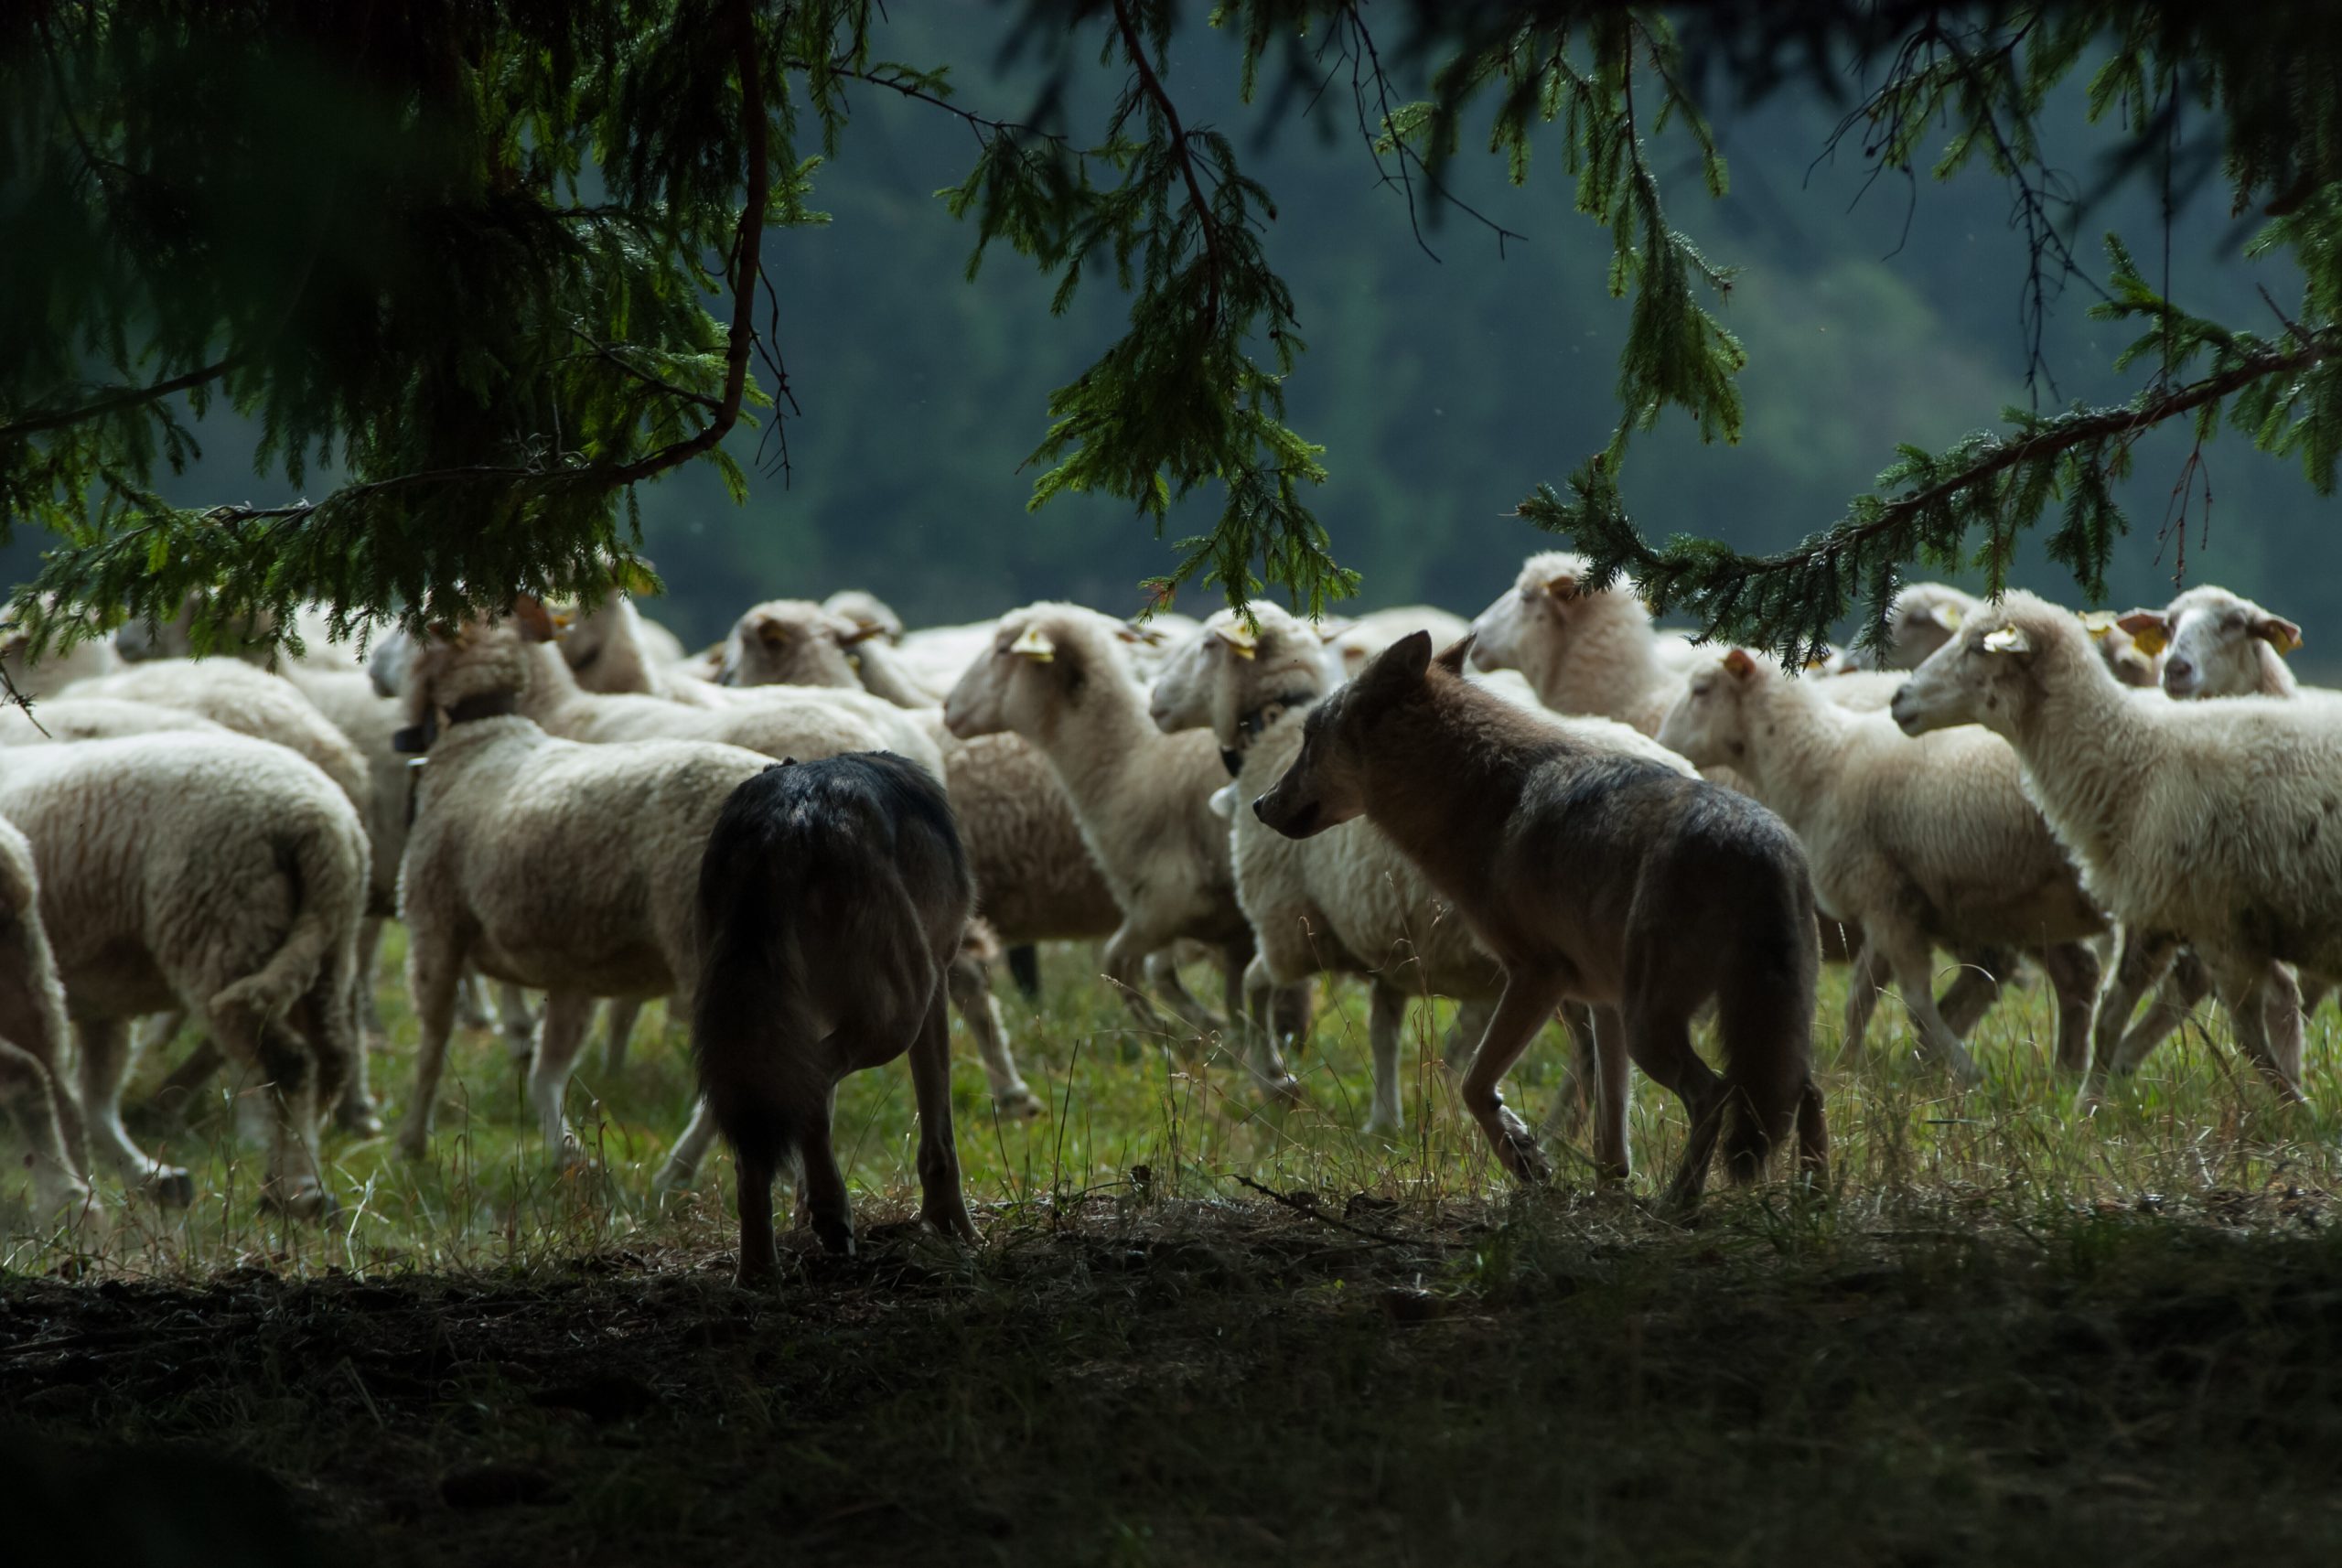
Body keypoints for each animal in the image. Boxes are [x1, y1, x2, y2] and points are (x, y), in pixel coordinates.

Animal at [0, 739, 365, 1217]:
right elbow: (92, 1092)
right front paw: (143, 1177)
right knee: (331, 1059)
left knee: (287, 1062)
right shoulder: (97, 1000)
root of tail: (320, 823)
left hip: (223, 932)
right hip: (324, 949)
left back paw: (297, 1191)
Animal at [1255, 631, 1817, 1208]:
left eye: (1307, 739)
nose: (1258, 803)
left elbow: (1474, 1084)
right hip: (1751, 1022)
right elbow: (1610, 1131)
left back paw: (1679, 1203)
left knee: (1713, 1093)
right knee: (1805, 1090)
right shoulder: (1602, 1002)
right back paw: (1815, 1197)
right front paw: (1601, 1192)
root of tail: (1761, 844)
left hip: (1653, 1028)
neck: (1480, 797)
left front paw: (1525, 1158)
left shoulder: (1535, 977)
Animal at [1883, 592, 2342, 1104]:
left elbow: (2249, 1034)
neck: (2134, 759)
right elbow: (2111, 1015)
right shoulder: (2157, 913)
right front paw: (2088, 1106)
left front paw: (2297, 1106)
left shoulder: (2220, 923)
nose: (1898, 698)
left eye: (1979, 648)